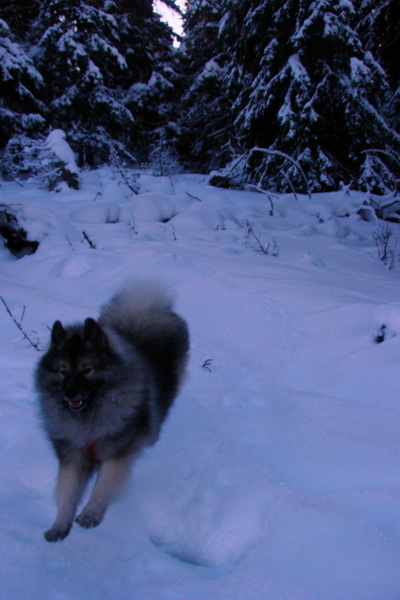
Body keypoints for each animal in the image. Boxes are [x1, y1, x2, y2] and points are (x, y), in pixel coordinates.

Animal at [34, 282, 189, 544]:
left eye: (87, 370)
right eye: (62, 372)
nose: (70, 394)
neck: (89, 419)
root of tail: (143, 311)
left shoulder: (116, 454)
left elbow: (103, 487)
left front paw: (90, 514)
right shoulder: (72, 457)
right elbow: (66, 494)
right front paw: (59, 526)